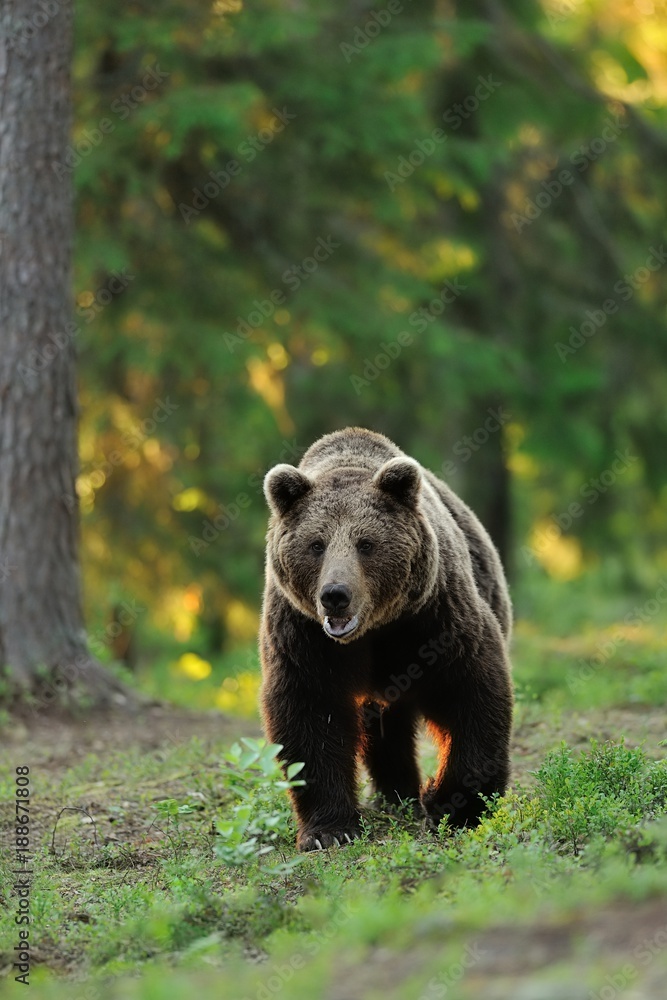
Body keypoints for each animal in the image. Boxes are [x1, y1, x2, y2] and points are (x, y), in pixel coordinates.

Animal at [260, 427, 513, 851]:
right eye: (316, 544)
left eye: (366, 543)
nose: (335, 594)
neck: (373, 631)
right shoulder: (303, 636)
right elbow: (310, 715)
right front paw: (329, 830)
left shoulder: (433, 619)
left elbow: (470, 693)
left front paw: (454, 806)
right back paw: (394, 795)